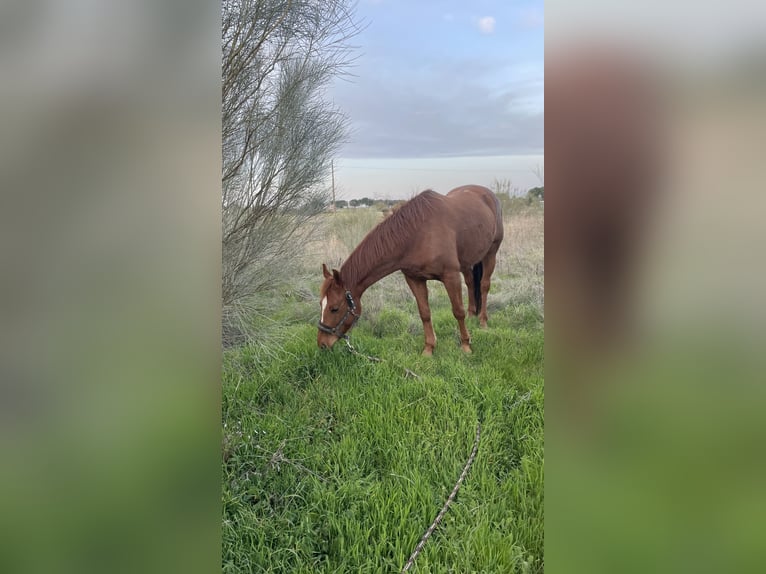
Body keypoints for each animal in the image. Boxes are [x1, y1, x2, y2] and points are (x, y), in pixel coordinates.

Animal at [317, 184, 504, 355]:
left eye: (334, 308)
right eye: (321, 304)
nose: (322, 344)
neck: (417, 234)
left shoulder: (451, 276)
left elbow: (458, 311)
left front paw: (466, 345)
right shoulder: (415, 279)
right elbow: (425, 313)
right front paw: (429, 349)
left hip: (491, 254)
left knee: (484, 286)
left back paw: (483, 322)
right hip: (467, 262)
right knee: (471, 283)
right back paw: (473, 315)